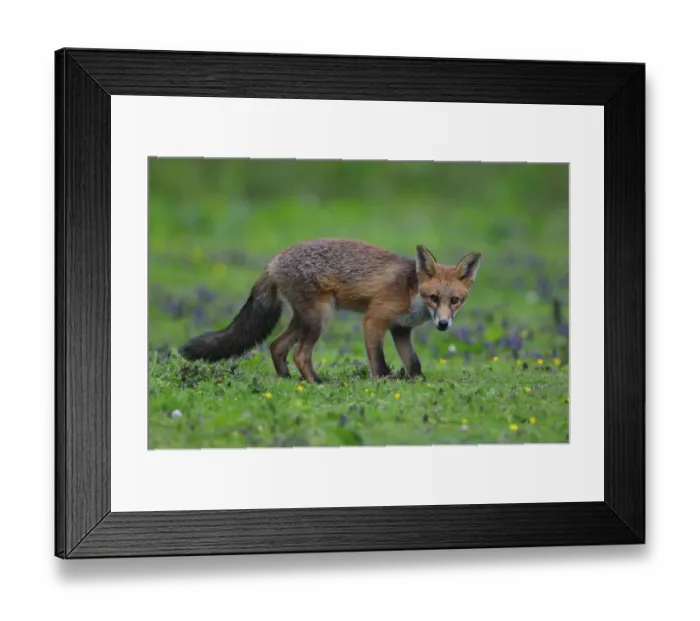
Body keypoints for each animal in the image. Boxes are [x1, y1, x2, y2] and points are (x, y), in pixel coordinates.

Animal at [179, 238, 481, 384]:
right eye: (434, 297)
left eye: (455, 300)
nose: (443, 324)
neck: (412, 290)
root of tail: (273, 260)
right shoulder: (374, 319)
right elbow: (379, 362)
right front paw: (384, 383)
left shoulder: (400, 329)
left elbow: (414, 363)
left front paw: (418, 382)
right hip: (320, 318)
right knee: (300, 354)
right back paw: (317, 382)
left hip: (305, 319)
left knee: (277, 346)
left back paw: (287, 380)